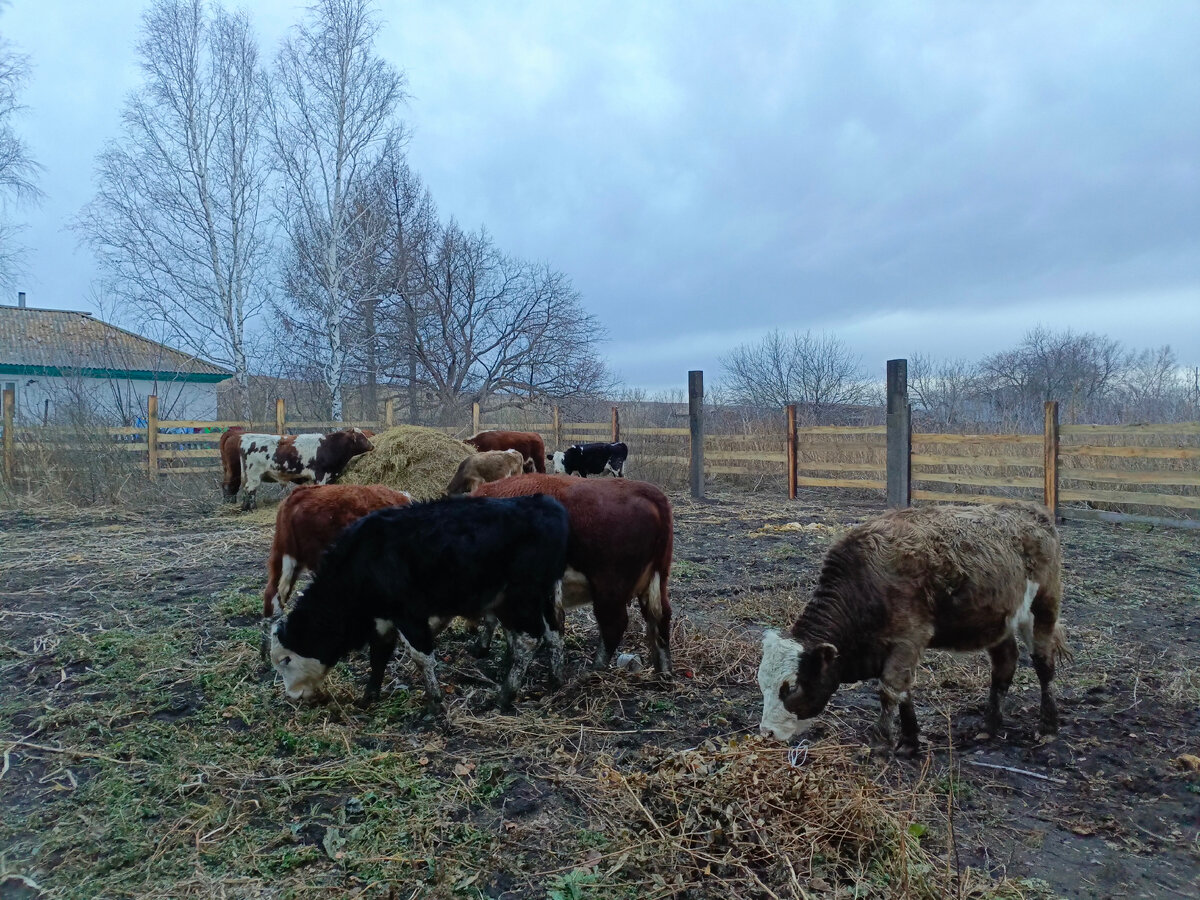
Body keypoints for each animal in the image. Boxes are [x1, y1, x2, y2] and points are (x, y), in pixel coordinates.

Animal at [270, 494, 568, 710]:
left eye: (286, 659)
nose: (292, 696)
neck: (365, 558)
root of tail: (544, 503)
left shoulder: (409, 615)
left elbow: (421, 657)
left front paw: (435, 703)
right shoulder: (382, 618)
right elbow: (379, 654)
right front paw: (369, 696)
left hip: (520, 599)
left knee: (529, 640)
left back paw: (505, 695)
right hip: (543, 596)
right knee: (554, 633)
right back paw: (556, 679)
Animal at [470, 475, 676, 672]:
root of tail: (646, 490)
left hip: (610, 587)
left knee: (613, 625)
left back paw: (593, 671)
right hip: (656, 579)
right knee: (660, 617)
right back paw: (664, 671)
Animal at [753, 504, 1075, 748]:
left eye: (792, 687)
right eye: (761, 683)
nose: (767, 732)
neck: (866, 584)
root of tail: (1033, 512)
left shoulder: (909, 640)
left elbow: (889, 691)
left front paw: (881, 743)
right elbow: (903, 691)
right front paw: (909, 740)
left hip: (1042, 610)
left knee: (1044, 664)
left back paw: (1048, 727)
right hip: (998, 622)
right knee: (1004, 665)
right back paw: (990, 727)